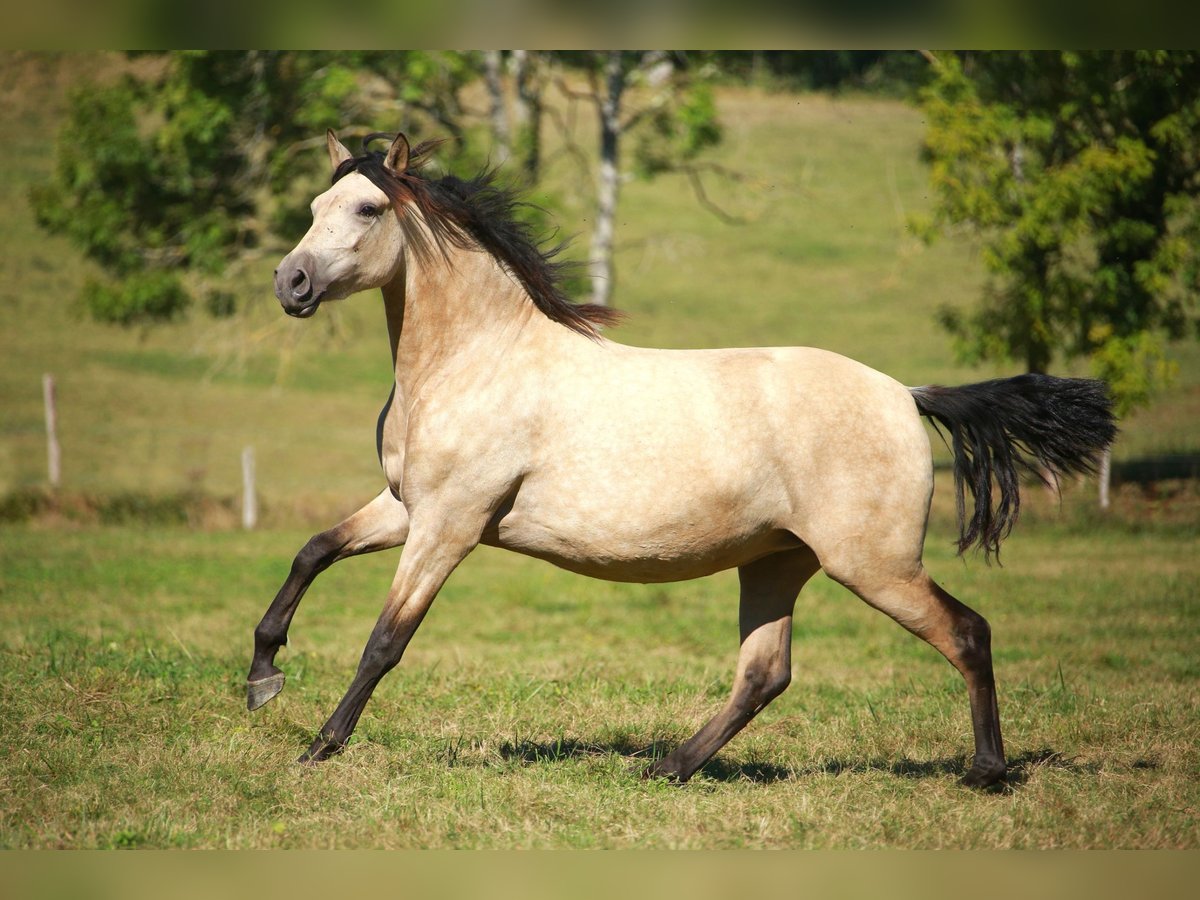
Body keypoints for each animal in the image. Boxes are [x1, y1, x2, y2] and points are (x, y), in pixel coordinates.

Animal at [246, 128, 1113, 787]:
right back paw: (667, 767)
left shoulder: (450, 524)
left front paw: (320, 746)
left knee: (968, 633)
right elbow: (311, 552)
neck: (477, 361)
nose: (290, 283)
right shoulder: (406, 508)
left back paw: (987, 772)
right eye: (315, 207)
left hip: (874, 563)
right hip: (778, 562)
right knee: (765, 674)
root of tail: (906, 394)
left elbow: (385, 640)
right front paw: (262, 678)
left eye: (366, 208)